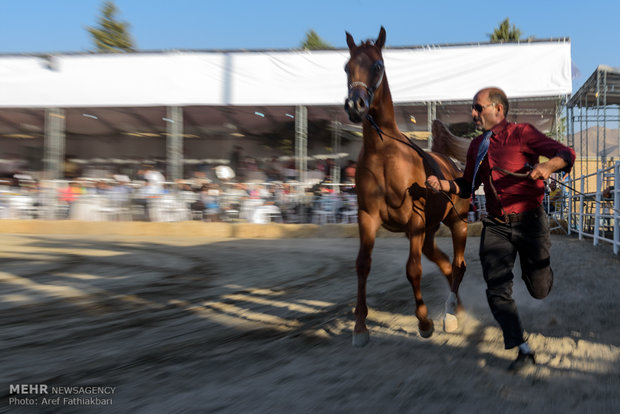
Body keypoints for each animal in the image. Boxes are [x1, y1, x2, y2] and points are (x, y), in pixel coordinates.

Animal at [344, 26, 470, 346]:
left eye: (378, 65)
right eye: (347, 67)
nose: (355, 106)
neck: (385, 155)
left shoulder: (414, 221)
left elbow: (413, 270)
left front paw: (424, 322)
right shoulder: (368, 217)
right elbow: (362, 265)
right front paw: (360, 326)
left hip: (458, 224)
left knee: (458, 265)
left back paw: (451, 314)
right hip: (429, 233)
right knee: (447, 264)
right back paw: (457, 309)